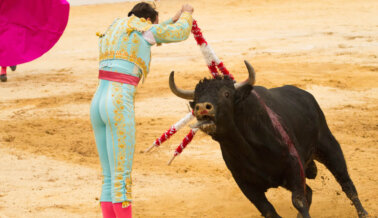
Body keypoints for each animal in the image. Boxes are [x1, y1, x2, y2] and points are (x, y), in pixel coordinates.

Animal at [169, 61, 370, 218]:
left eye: (227, 94)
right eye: (197, 98)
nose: (202, 107)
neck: (246, 148)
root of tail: (306, 95)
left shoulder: (294, 166)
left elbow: (299, 201)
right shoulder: (245, 183)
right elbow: (268, 209)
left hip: (328, 146)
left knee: (346, 184)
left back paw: (364, 213)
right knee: (312, 191)